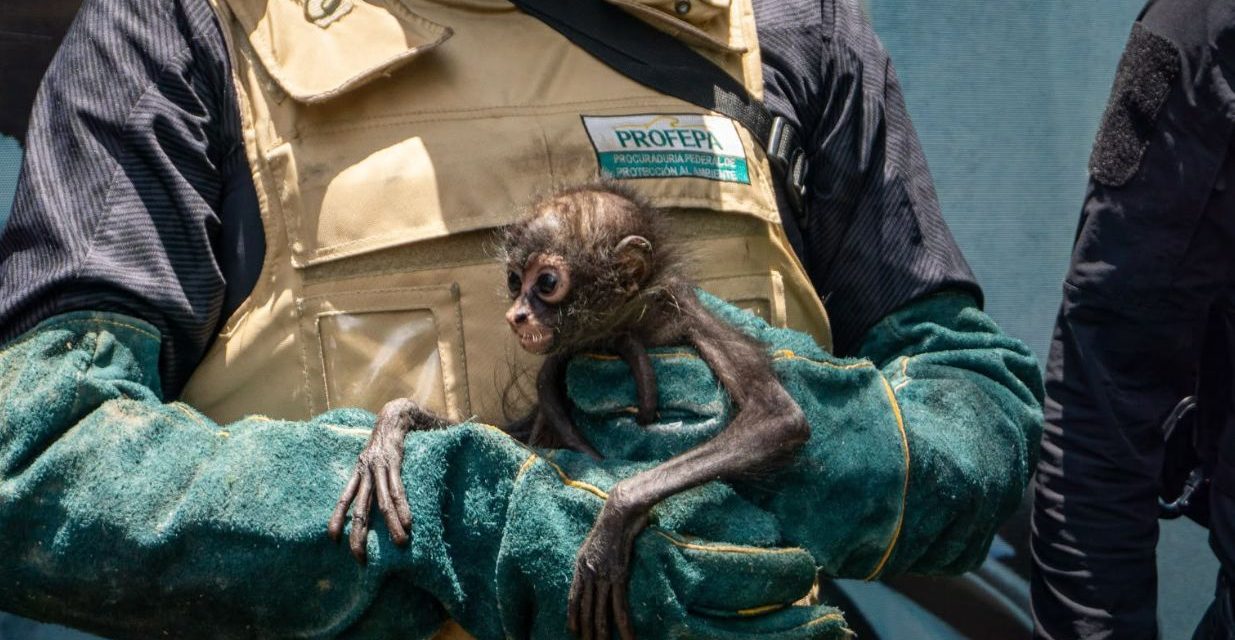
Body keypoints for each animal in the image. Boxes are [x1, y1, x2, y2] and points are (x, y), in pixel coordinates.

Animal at [329, 183, 811, 640]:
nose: (517, 314)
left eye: (546, 283)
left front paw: (613, 524)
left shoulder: (687, 315)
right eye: (513, 279)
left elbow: (778, 420)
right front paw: (389, 433)